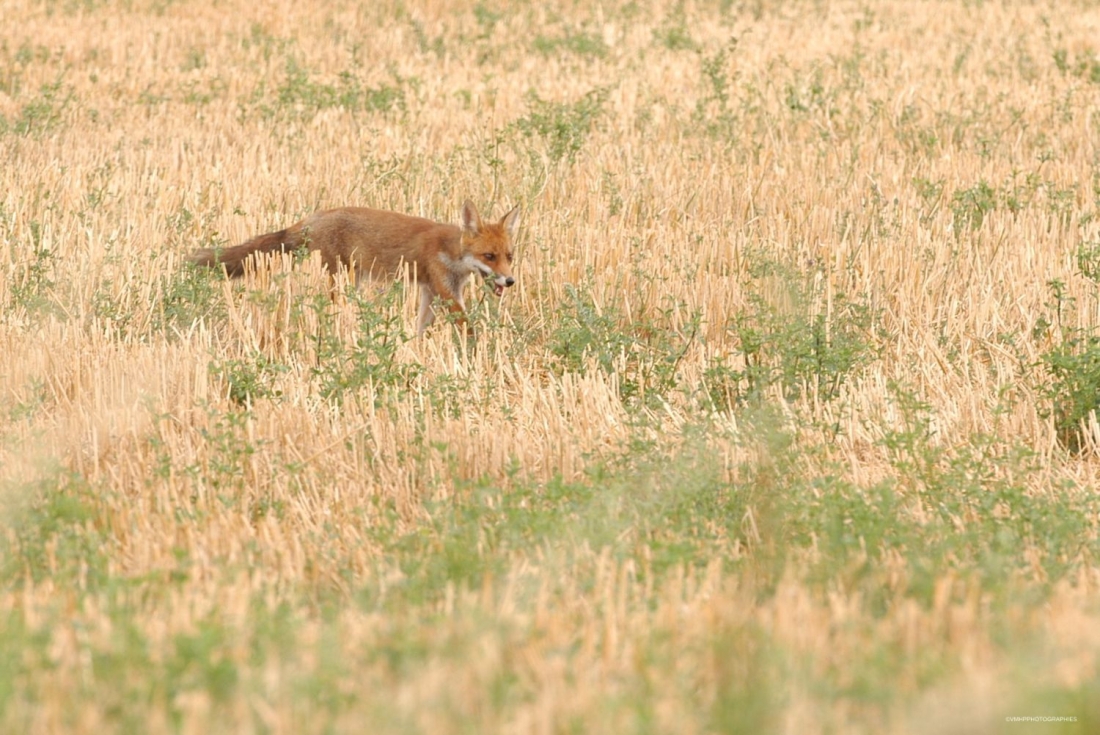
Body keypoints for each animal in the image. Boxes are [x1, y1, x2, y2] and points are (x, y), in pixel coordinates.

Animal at [188, 200, 520, 335]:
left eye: (509, 255)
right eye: (489, 256)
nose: (510, 281)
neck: (451, 252)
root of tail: (314, 218)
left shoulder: (431, 291)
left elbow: (421, 329)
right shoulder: (447, 293)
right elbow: (470, 329)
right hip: (341, 279)